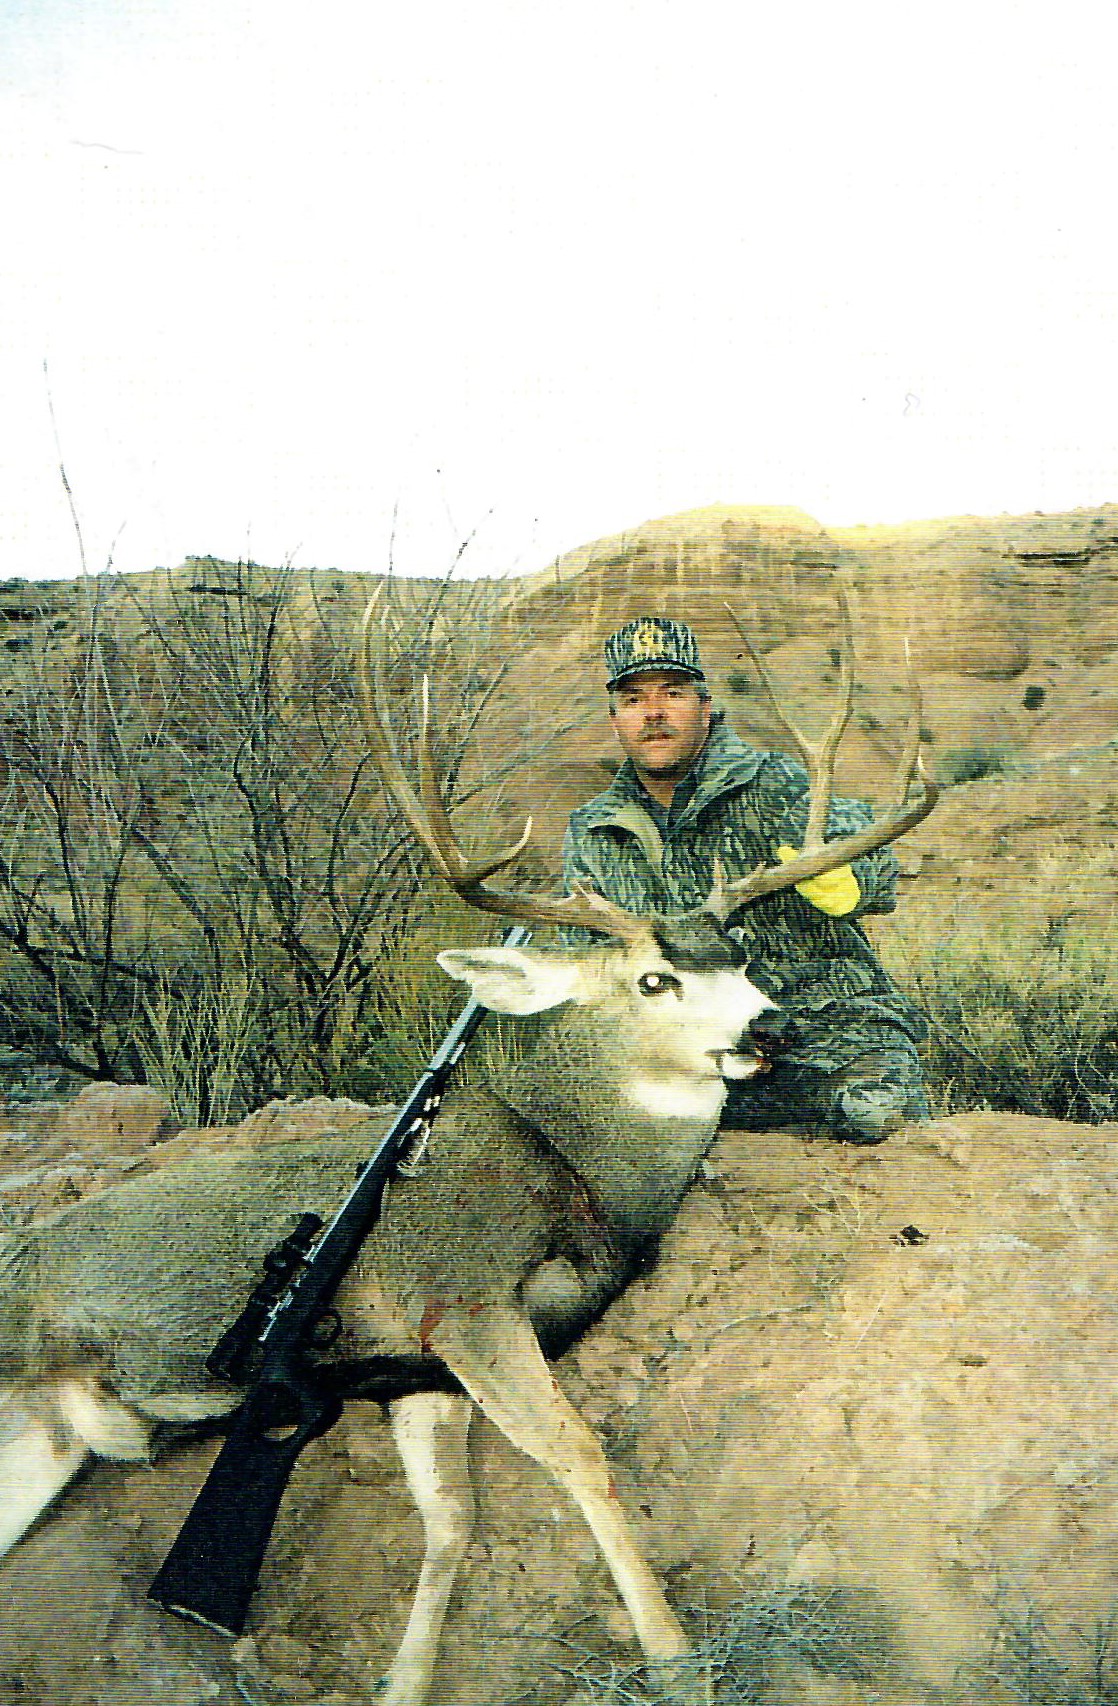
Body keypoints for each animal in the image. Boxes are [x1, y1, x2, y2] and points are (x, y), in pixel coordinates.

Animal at [0, 588, 936, 1705]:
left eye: (746, 956)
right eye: (652, 979)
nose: (772, 1027)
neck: (576, 1168)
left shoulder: (414, 1372)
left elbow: (450, 1521)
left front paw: (403, 1683)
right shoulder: (461, 1292)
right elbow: (579, 1454)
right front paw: (673, 1654)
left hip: (46, 1433)